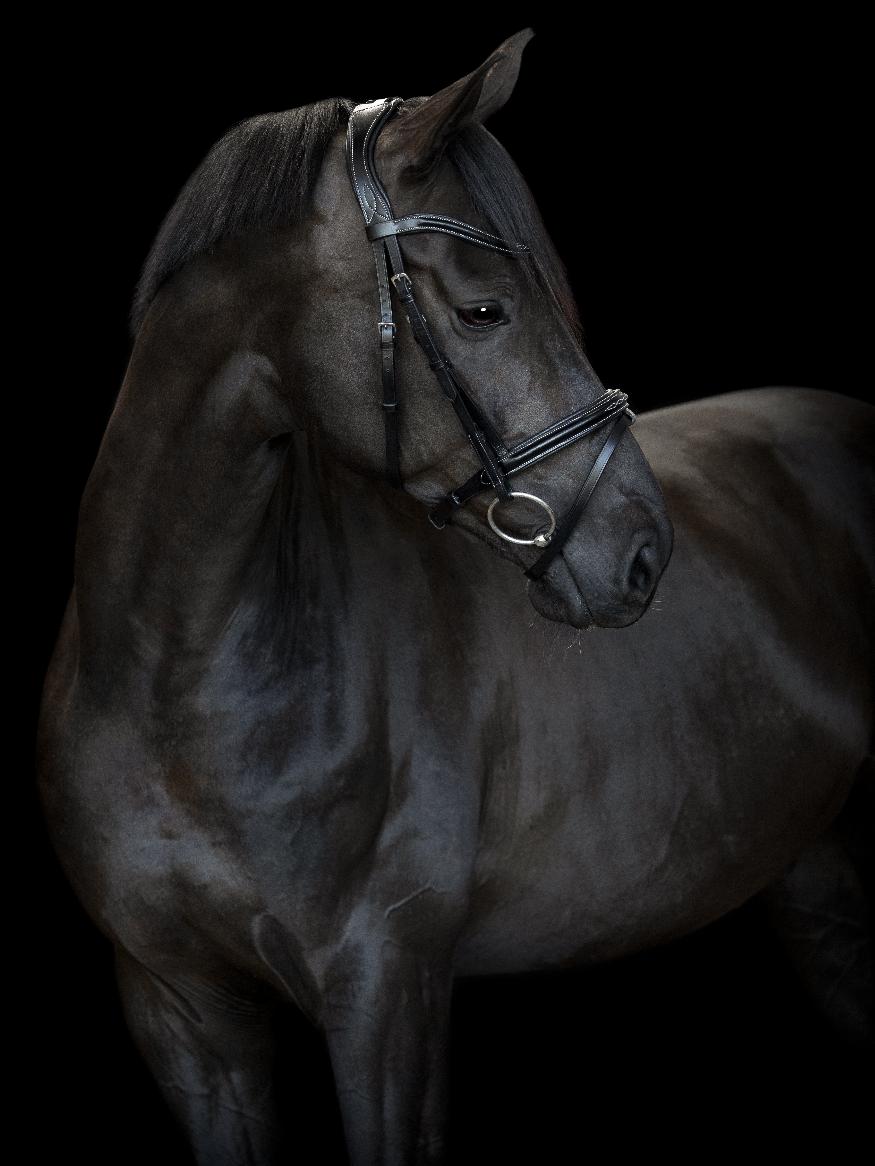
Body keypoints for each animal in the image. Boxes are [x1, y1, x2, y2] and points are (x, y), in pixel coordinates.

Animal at [36, 28, 873, 1165]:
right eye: (483, 309)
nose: (641, 550)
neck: (180, 686)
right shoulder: (182, 1012)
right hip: (815, 872)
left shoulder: (386, 996)